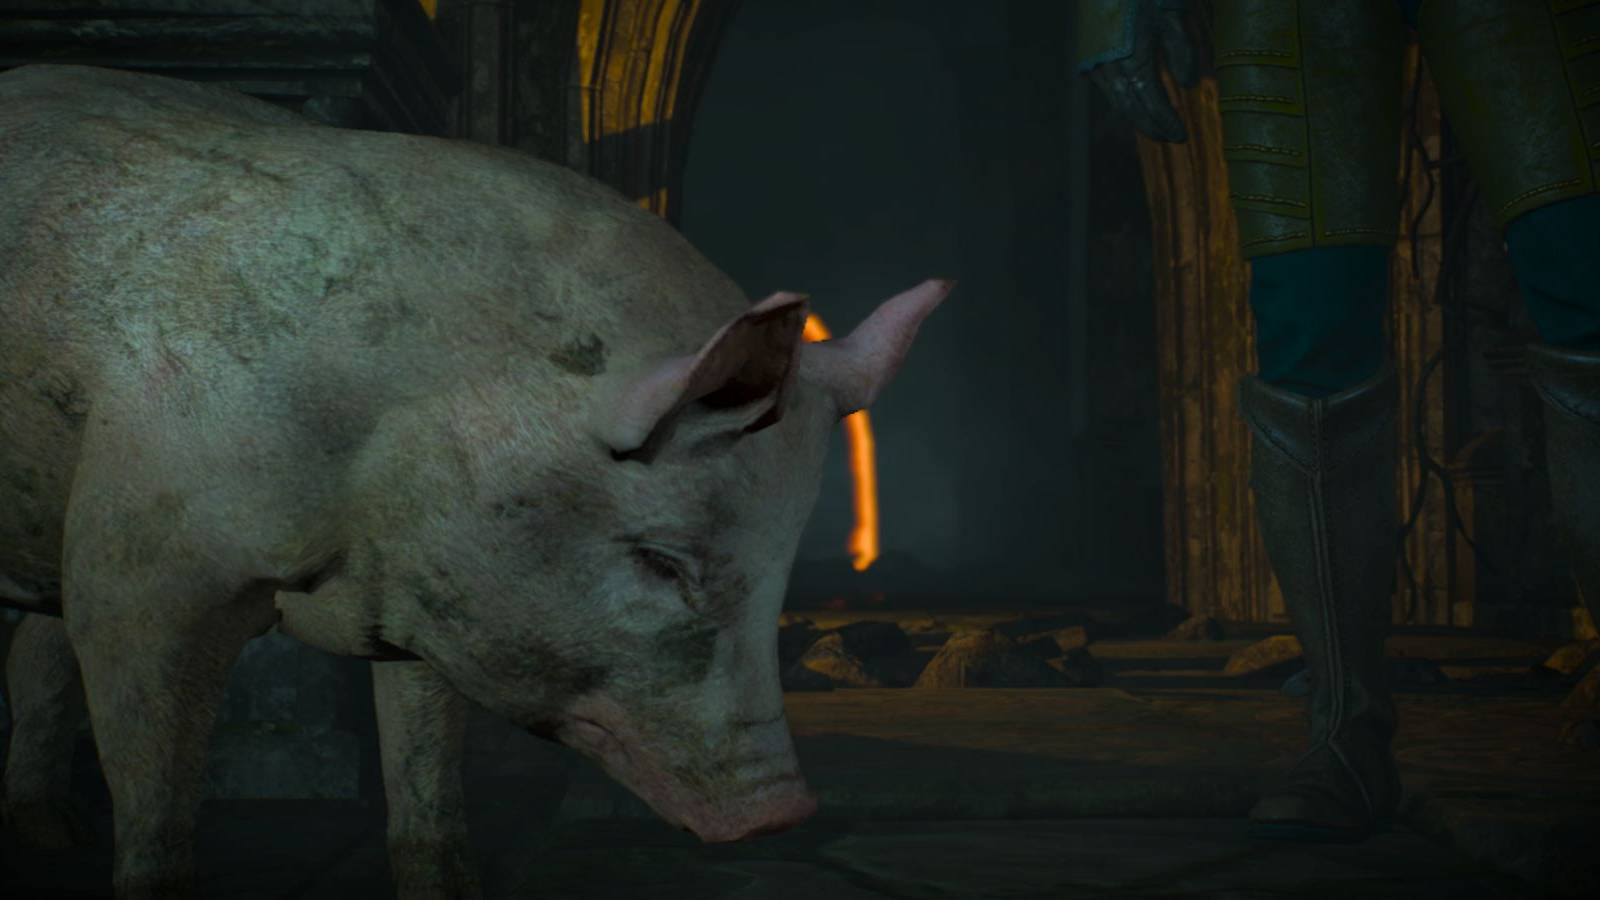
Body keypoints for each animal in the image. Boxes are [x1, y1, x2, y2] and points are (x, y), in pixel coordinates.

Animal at [0, 64, 948, 899]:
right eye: (660, 560)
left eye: (782, 566)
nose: (782, 812)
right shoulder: (137, 557)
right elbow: (151, 770)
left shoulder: (424, 601)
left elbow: (423, 751)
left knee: (38, 651)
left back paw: (50, 836)